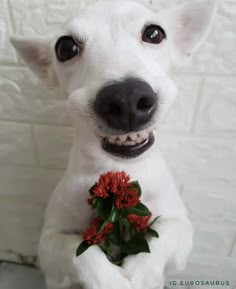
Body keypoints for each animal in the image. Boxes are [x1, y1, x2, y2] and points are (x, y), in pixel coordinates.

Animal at [9, 1, 219, 286]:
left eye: (155, 33)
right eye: (65, 48)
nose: (126, 98)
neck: (119, 169)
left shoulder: (181, 231)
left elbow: (164, 234)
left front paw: (141, 274)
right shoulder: (49, 244)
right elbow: (75, 249)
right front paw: (110, 280)